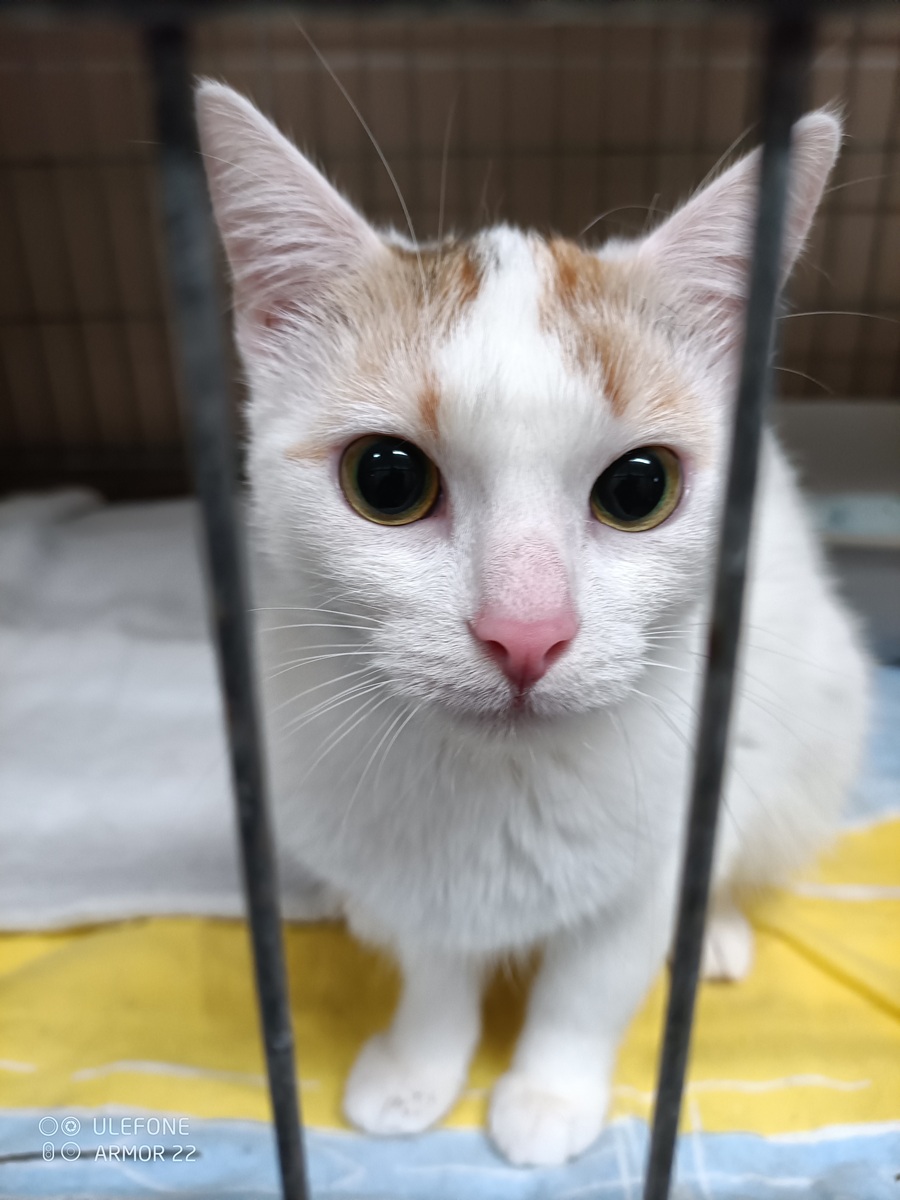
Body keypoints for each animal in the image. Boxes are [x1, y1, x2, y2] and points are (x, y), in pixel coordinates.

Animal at [196, 81, 870, 1167]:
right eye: (386, 479)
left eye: (641, 488)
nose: (526, 631)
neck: (496, 786)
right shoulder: (408, 877)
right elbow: (433, 976)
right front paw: (418, 1069)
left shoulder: (654, 858)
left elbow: (587, 992)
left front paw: (550, 1097)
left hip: (810, 727)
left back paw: (716, 933)